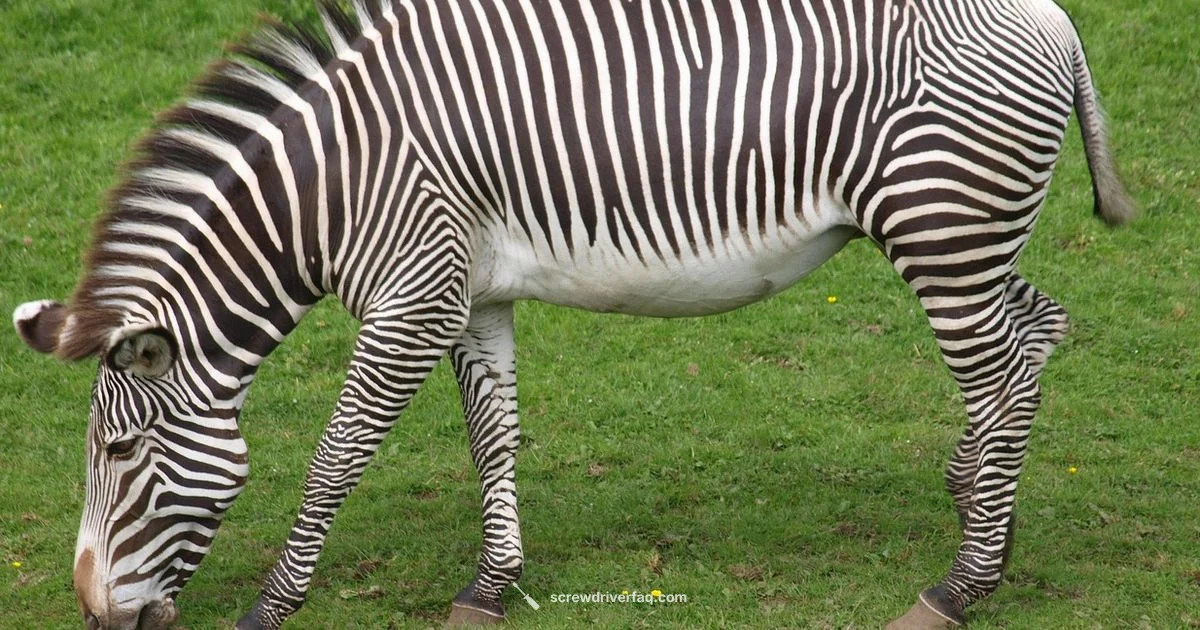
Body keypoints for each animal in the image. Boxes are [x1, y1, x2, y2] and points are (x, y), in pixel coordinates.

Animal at [12, 0, 1134, 628]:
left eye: (115, 455)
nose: (91, 616)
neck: (331, 187)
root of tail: (1053, 19)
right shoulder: (470, 292)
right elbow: (492, 435)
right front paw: (491, 584)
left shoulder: (411, 298)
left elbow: (337, 457)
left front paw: (271, 606)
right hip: (967, 235)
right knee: (1035, 335)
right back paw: (983, 508)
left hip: (941, 227)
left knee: (1000, 369)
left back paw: (960, 585)